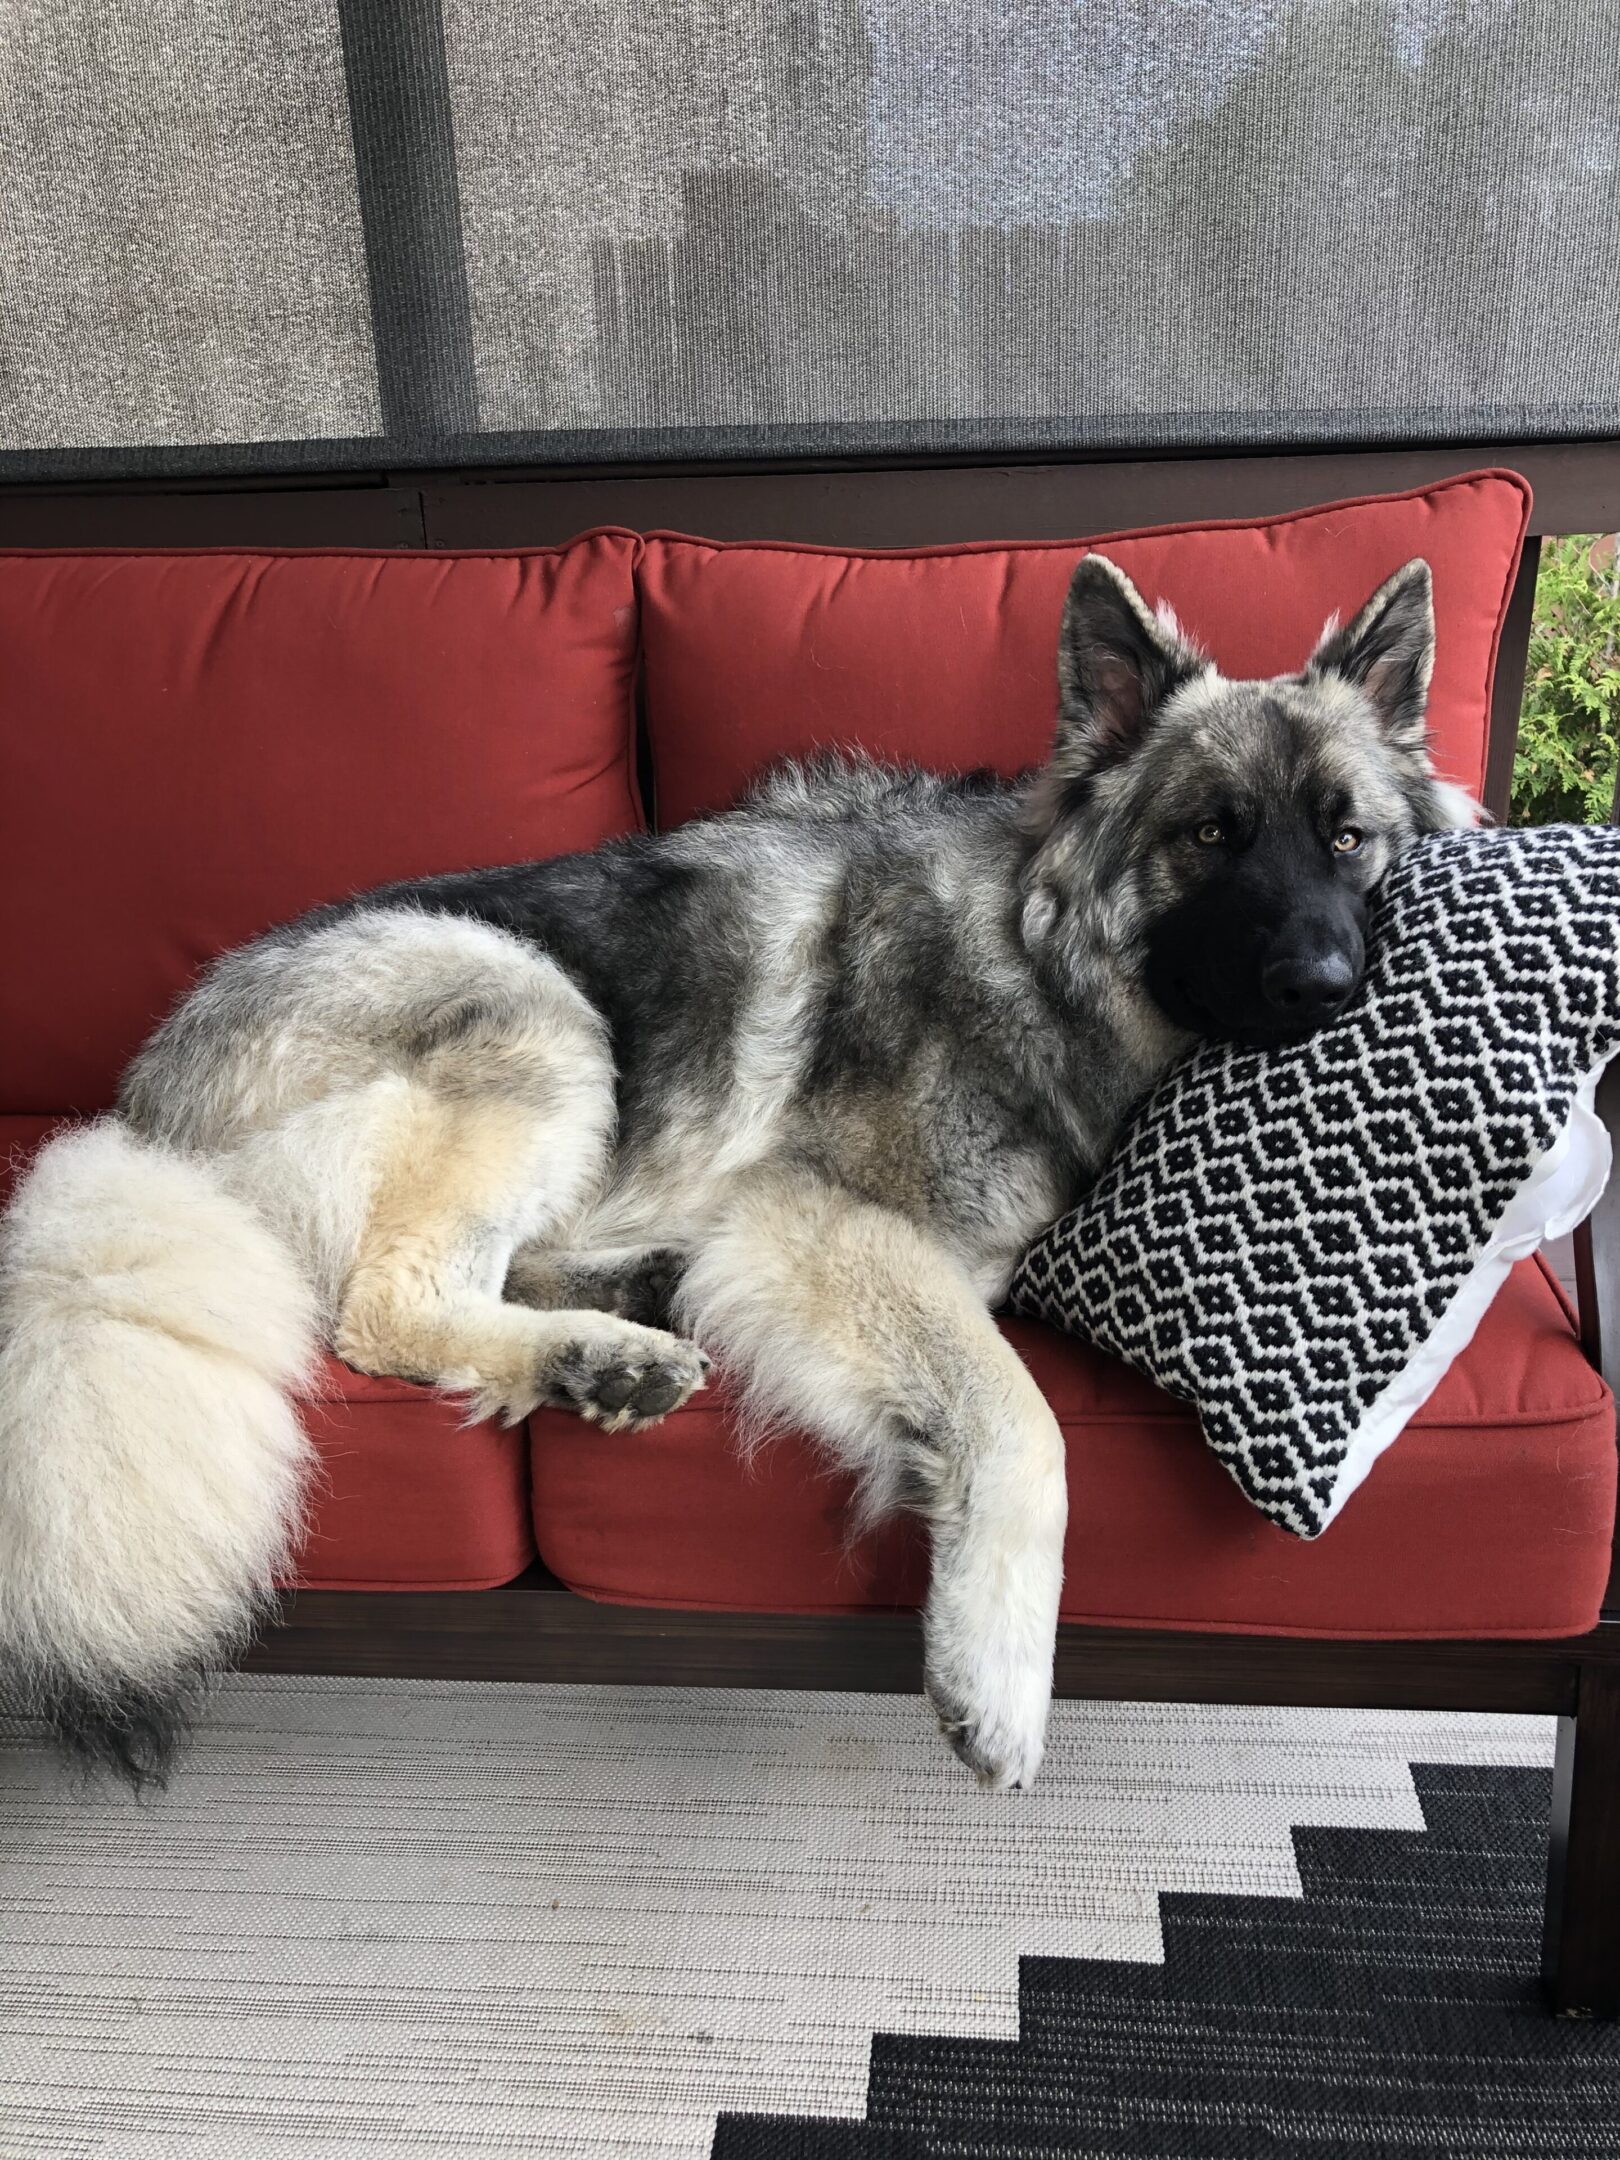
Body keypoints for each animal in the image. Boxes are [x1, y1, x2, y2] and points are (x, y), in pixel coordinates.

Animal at [0, 552, 1468, 1788]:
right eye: (1212, 835)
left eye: (1348, 837)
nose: (1326, 981)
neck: (1031, 952)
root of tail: (141, 1118)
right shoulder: (823, 1223)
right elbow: (1024, 1421)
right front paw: (997, 1672)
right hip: (536, 1009)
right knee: (382, 1303)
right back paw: (596, 1350)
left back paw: (609, 1338)